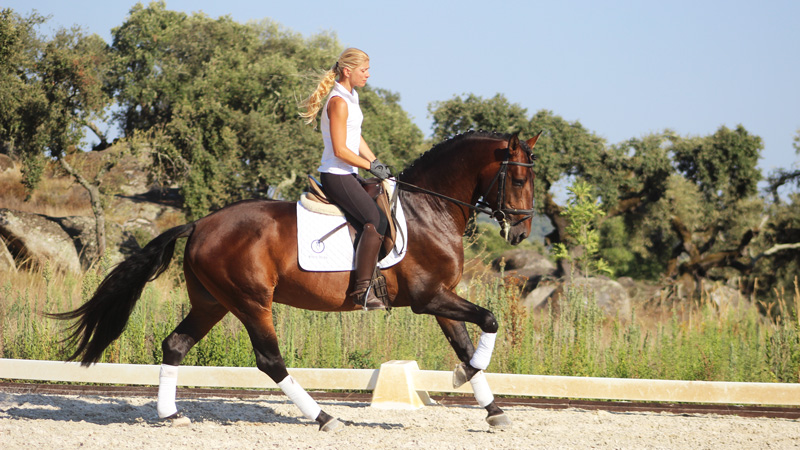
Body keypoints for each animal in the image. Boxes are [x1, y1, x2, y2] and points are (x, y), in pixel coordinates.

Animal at [53, 130, 540, 432]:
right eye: (518, 177)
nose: (520, 233)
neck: (429, 209)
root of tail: (201, 223)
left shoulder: (441, 298)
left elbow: (466, 343)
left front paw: (492, 409)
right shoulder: (429, 297)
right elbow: (490, 321)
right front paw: (463, 378)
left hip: (212, 302)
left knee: (175, 345)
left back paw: (171, 415)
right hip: (251, 302)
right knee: (270, 360)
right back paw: (324, 418)